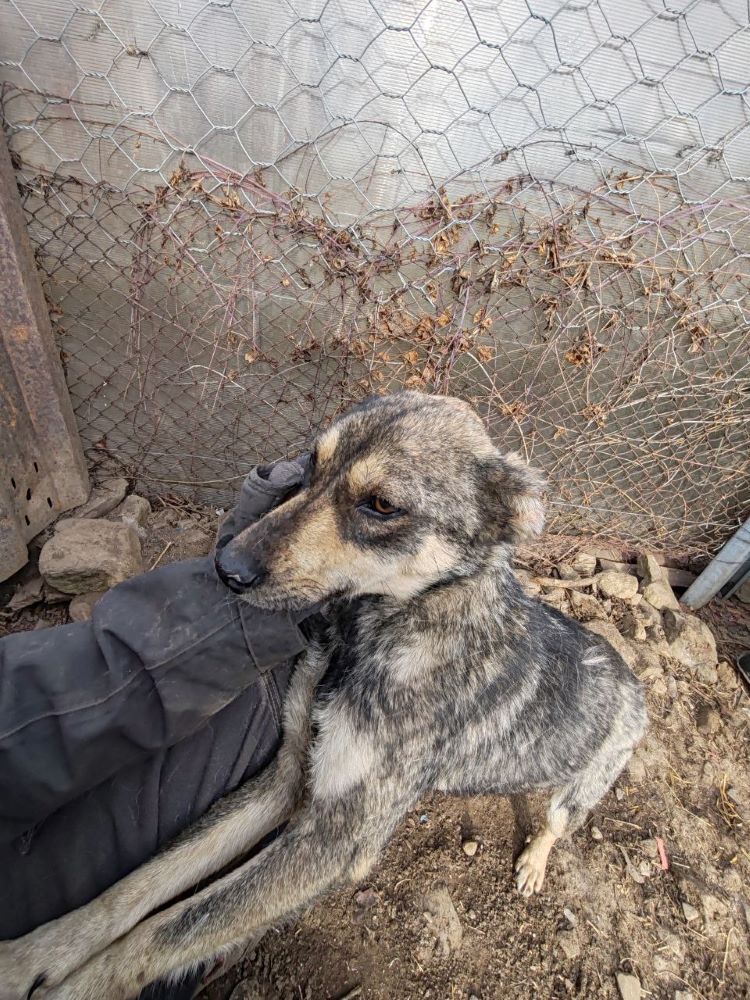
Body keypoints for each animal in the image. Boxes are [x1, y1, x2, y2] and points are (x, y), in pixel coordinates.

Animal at [0, 390, 648, 1000]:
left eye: (381, 505)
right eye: (312, 463)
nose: (226, 567)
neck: (375, 632)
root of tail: (630, 672)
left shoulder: (337, 838)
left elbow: (169, 929)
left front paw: (74, 988)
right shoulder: (289, 771)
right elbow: (141, 883)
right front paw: (35, 954)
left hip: (589, 782)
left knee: (558, 820)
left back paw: (535, 863)